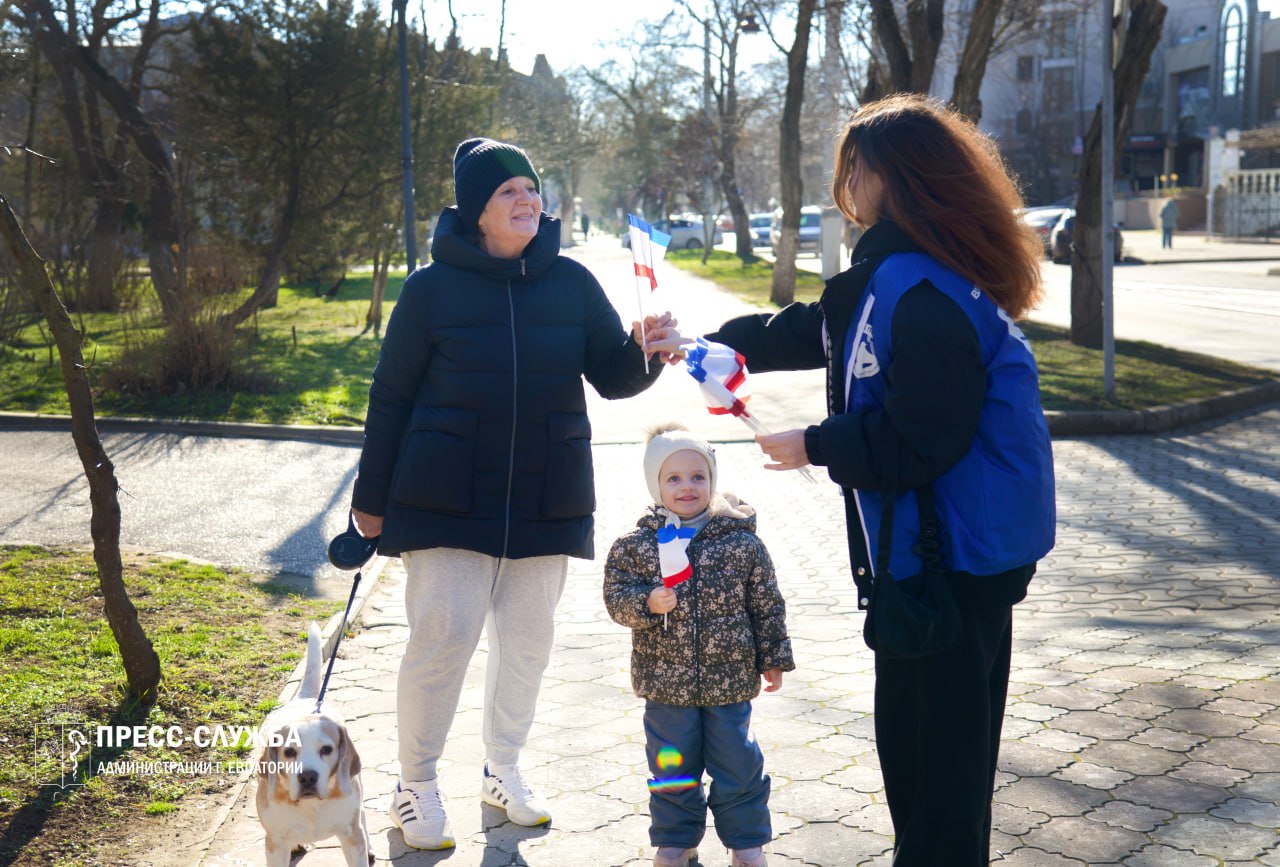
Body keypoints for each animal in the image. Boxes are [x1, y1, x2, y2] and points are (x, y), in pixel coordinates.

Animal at [250, 624, 368, 860]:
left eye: (326, 749)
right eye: (289, 752)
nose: (307, 777)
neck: (311, 805)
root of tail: (304, 698)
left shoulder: (351, 836)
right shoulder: (275, 843)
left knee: (364, 816)